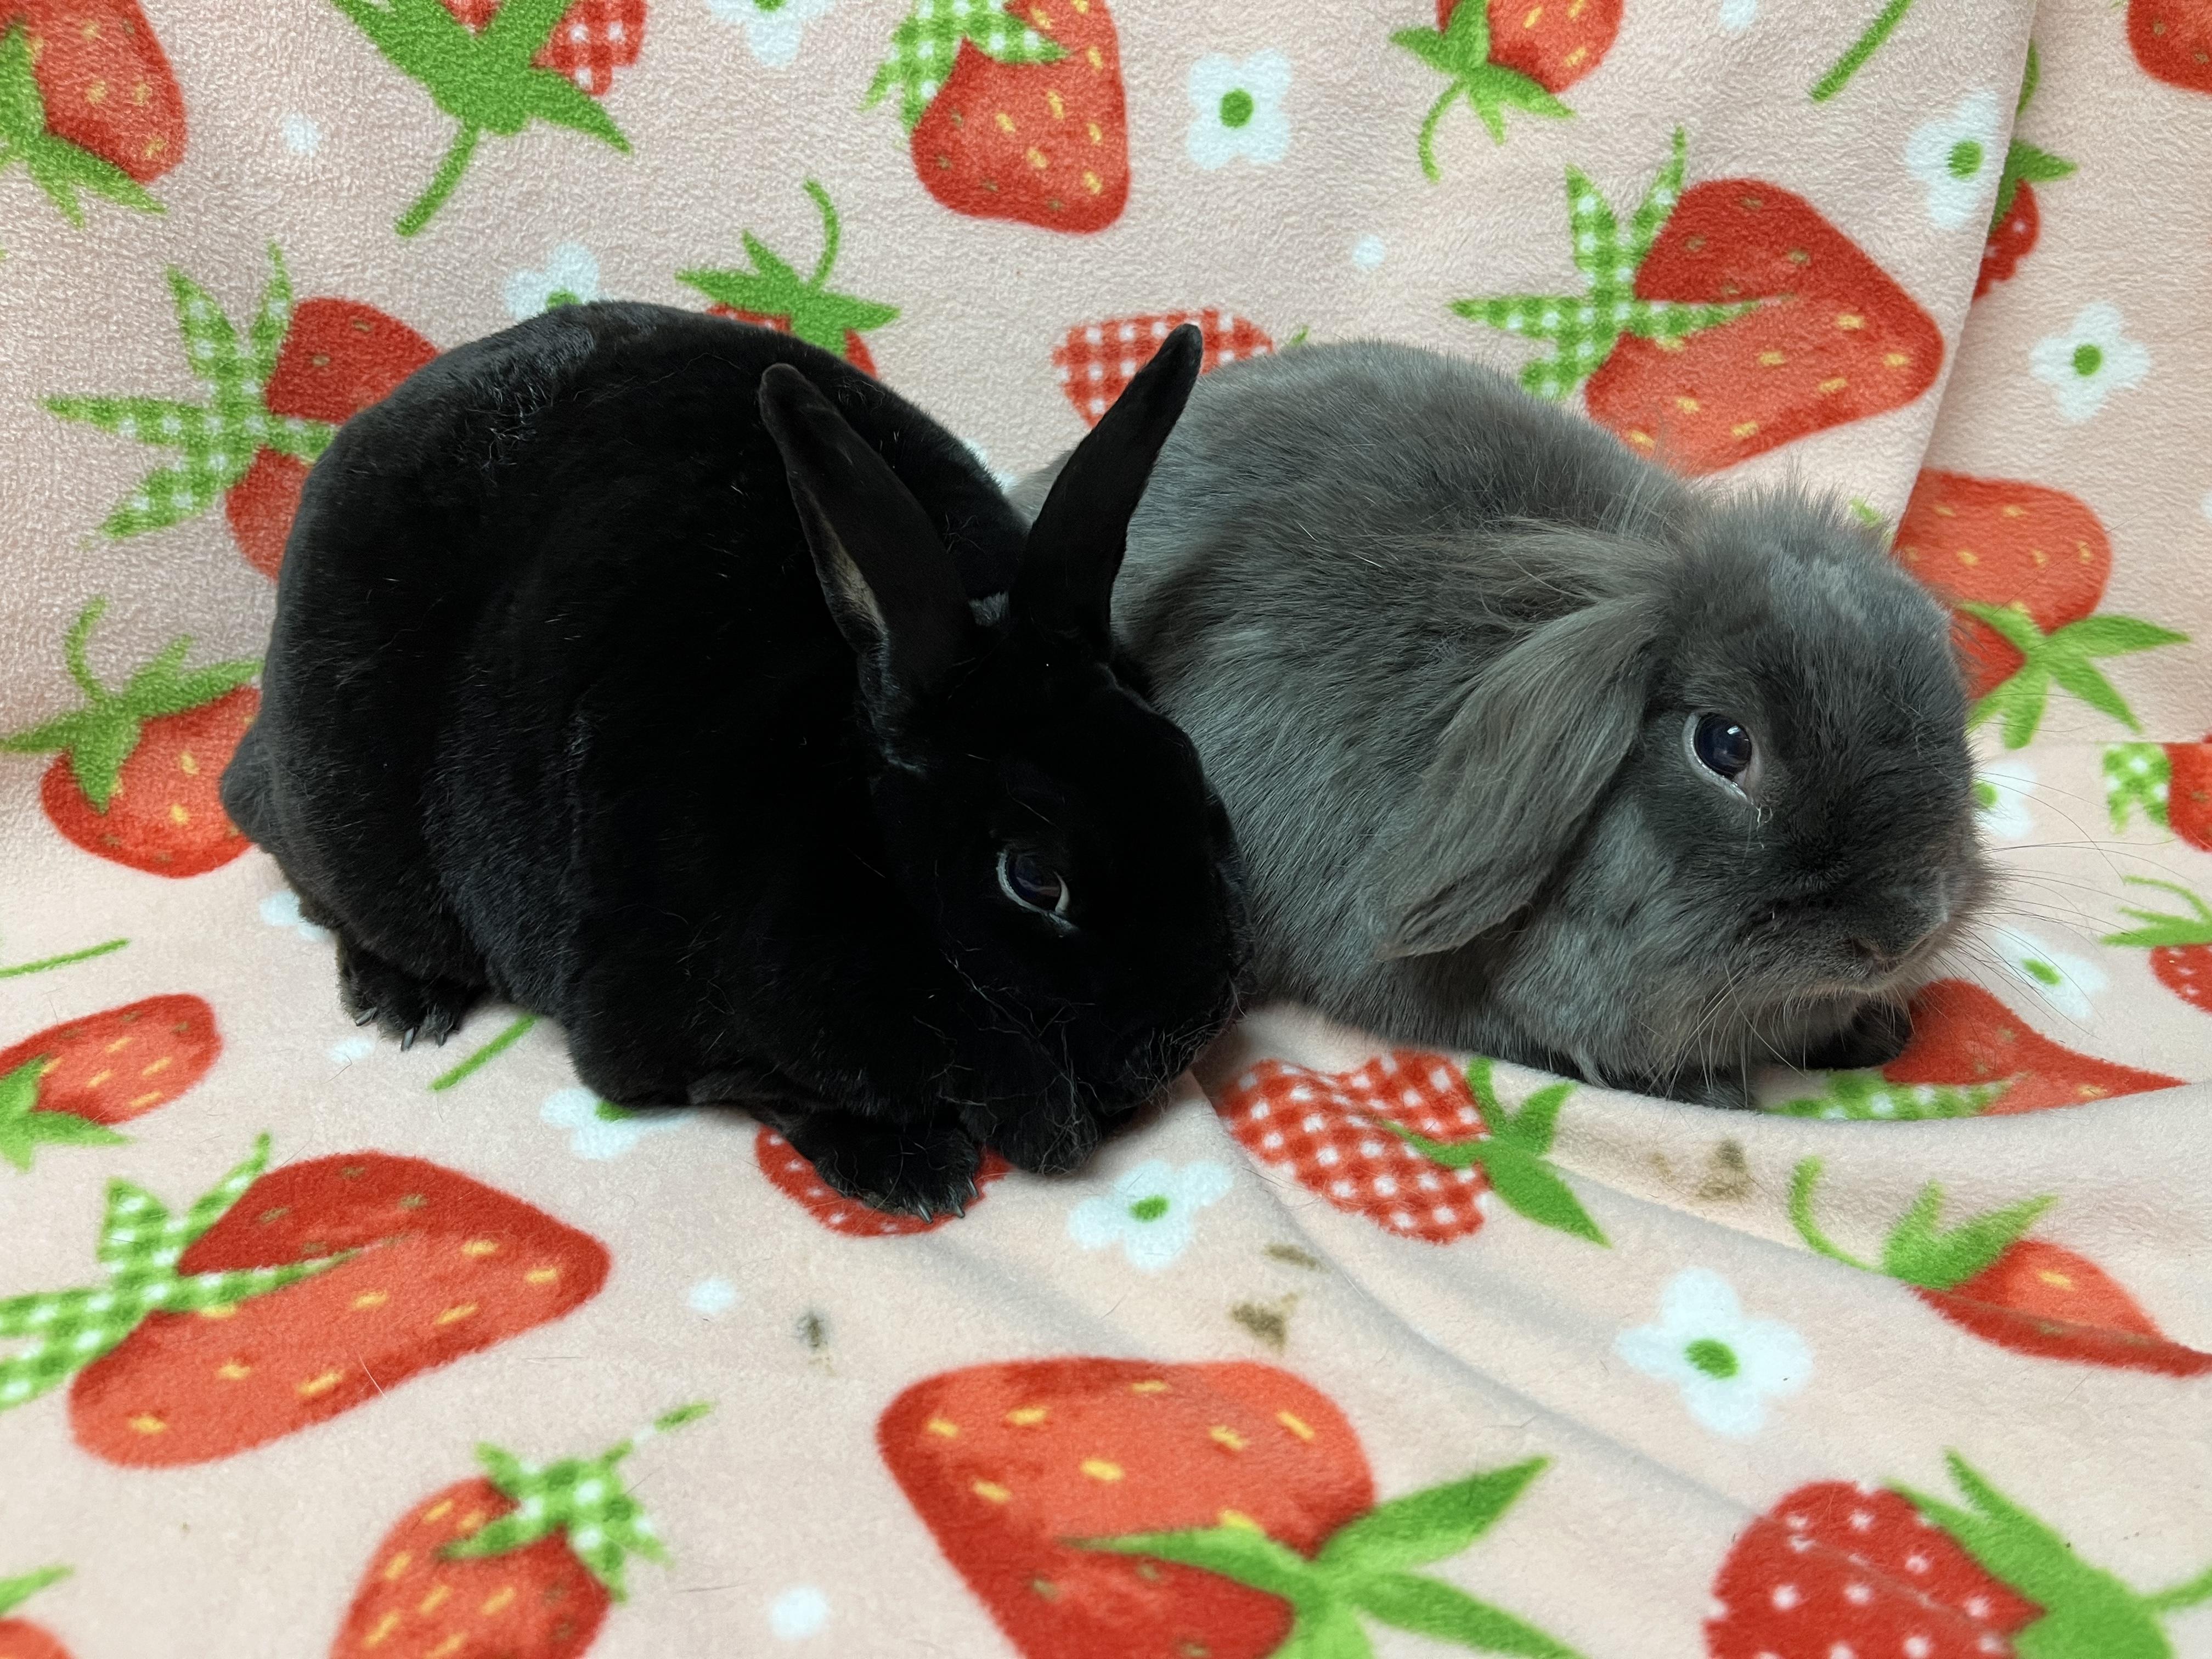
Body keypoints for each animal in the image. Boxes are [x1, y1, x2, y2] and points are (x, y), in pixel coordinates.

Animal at [221, 304, 1245, 1216]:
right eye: (1034, 879)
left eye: (1196, 790)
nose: (1185, 1032)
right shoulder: (662, 1038)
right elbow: (778, 1094)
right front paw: (913, 1173)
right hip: (345, 812)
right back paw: (402, 999)